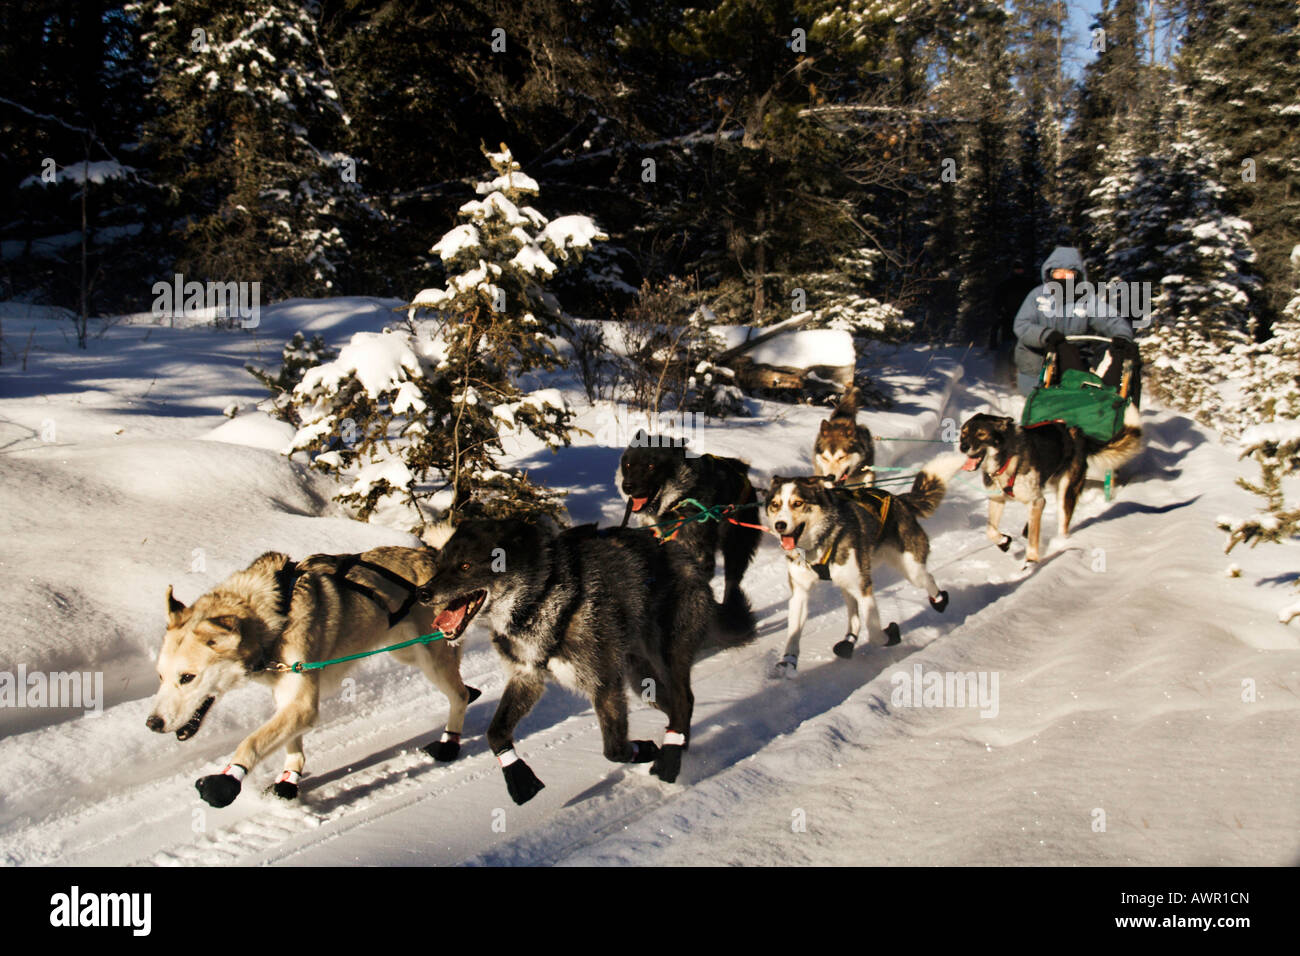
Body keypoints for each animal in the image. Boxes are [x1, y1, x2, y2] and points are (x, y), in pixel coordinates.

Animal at [147, 546, 480, 806]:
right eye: (161, 677)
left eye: (187, 677)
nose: (153, 723)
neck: (275, 615)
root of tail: (431, 556)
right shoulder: (289, 698)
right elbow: (291, 745)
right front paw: (288, 780)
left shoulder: (302, 702)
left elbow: (251, 742)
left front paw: (226, 781)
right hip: (405, 651)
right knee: (461, 686)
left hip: (431, 658)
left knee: (458, 695)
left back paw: (449, 743)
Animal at [421, 520, 759, 806]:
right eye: (440, 564)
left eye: (465, 565)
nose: (422, 592)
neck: (539, 600)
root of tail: (686, 559)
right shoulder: (527, 679)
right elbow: (495, 733)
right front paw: (518, 777)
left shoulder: (604, 684)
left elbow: (615, 750)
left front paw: (644, 749)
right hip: (642, 682)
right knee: (679, 707)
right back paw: (678, 748)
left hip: (667, 658)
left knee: (683, 701)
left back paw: (669, 757)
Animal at [759, 452, 967, 676]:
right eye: (775, 504)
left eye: (797, 503)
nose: (780, 525)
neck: (820, 542)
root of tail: (899, 500)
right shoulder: (800, 592)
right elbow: (794, 632)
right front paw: (788, 662)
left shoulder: (864, 587)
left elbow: (875, 631)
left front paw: (890, 635)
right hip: (847, 583)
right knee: (853, 614)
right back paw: (849, 640)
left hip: (909, 569)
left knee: (928, 578)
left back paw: (939, 600)